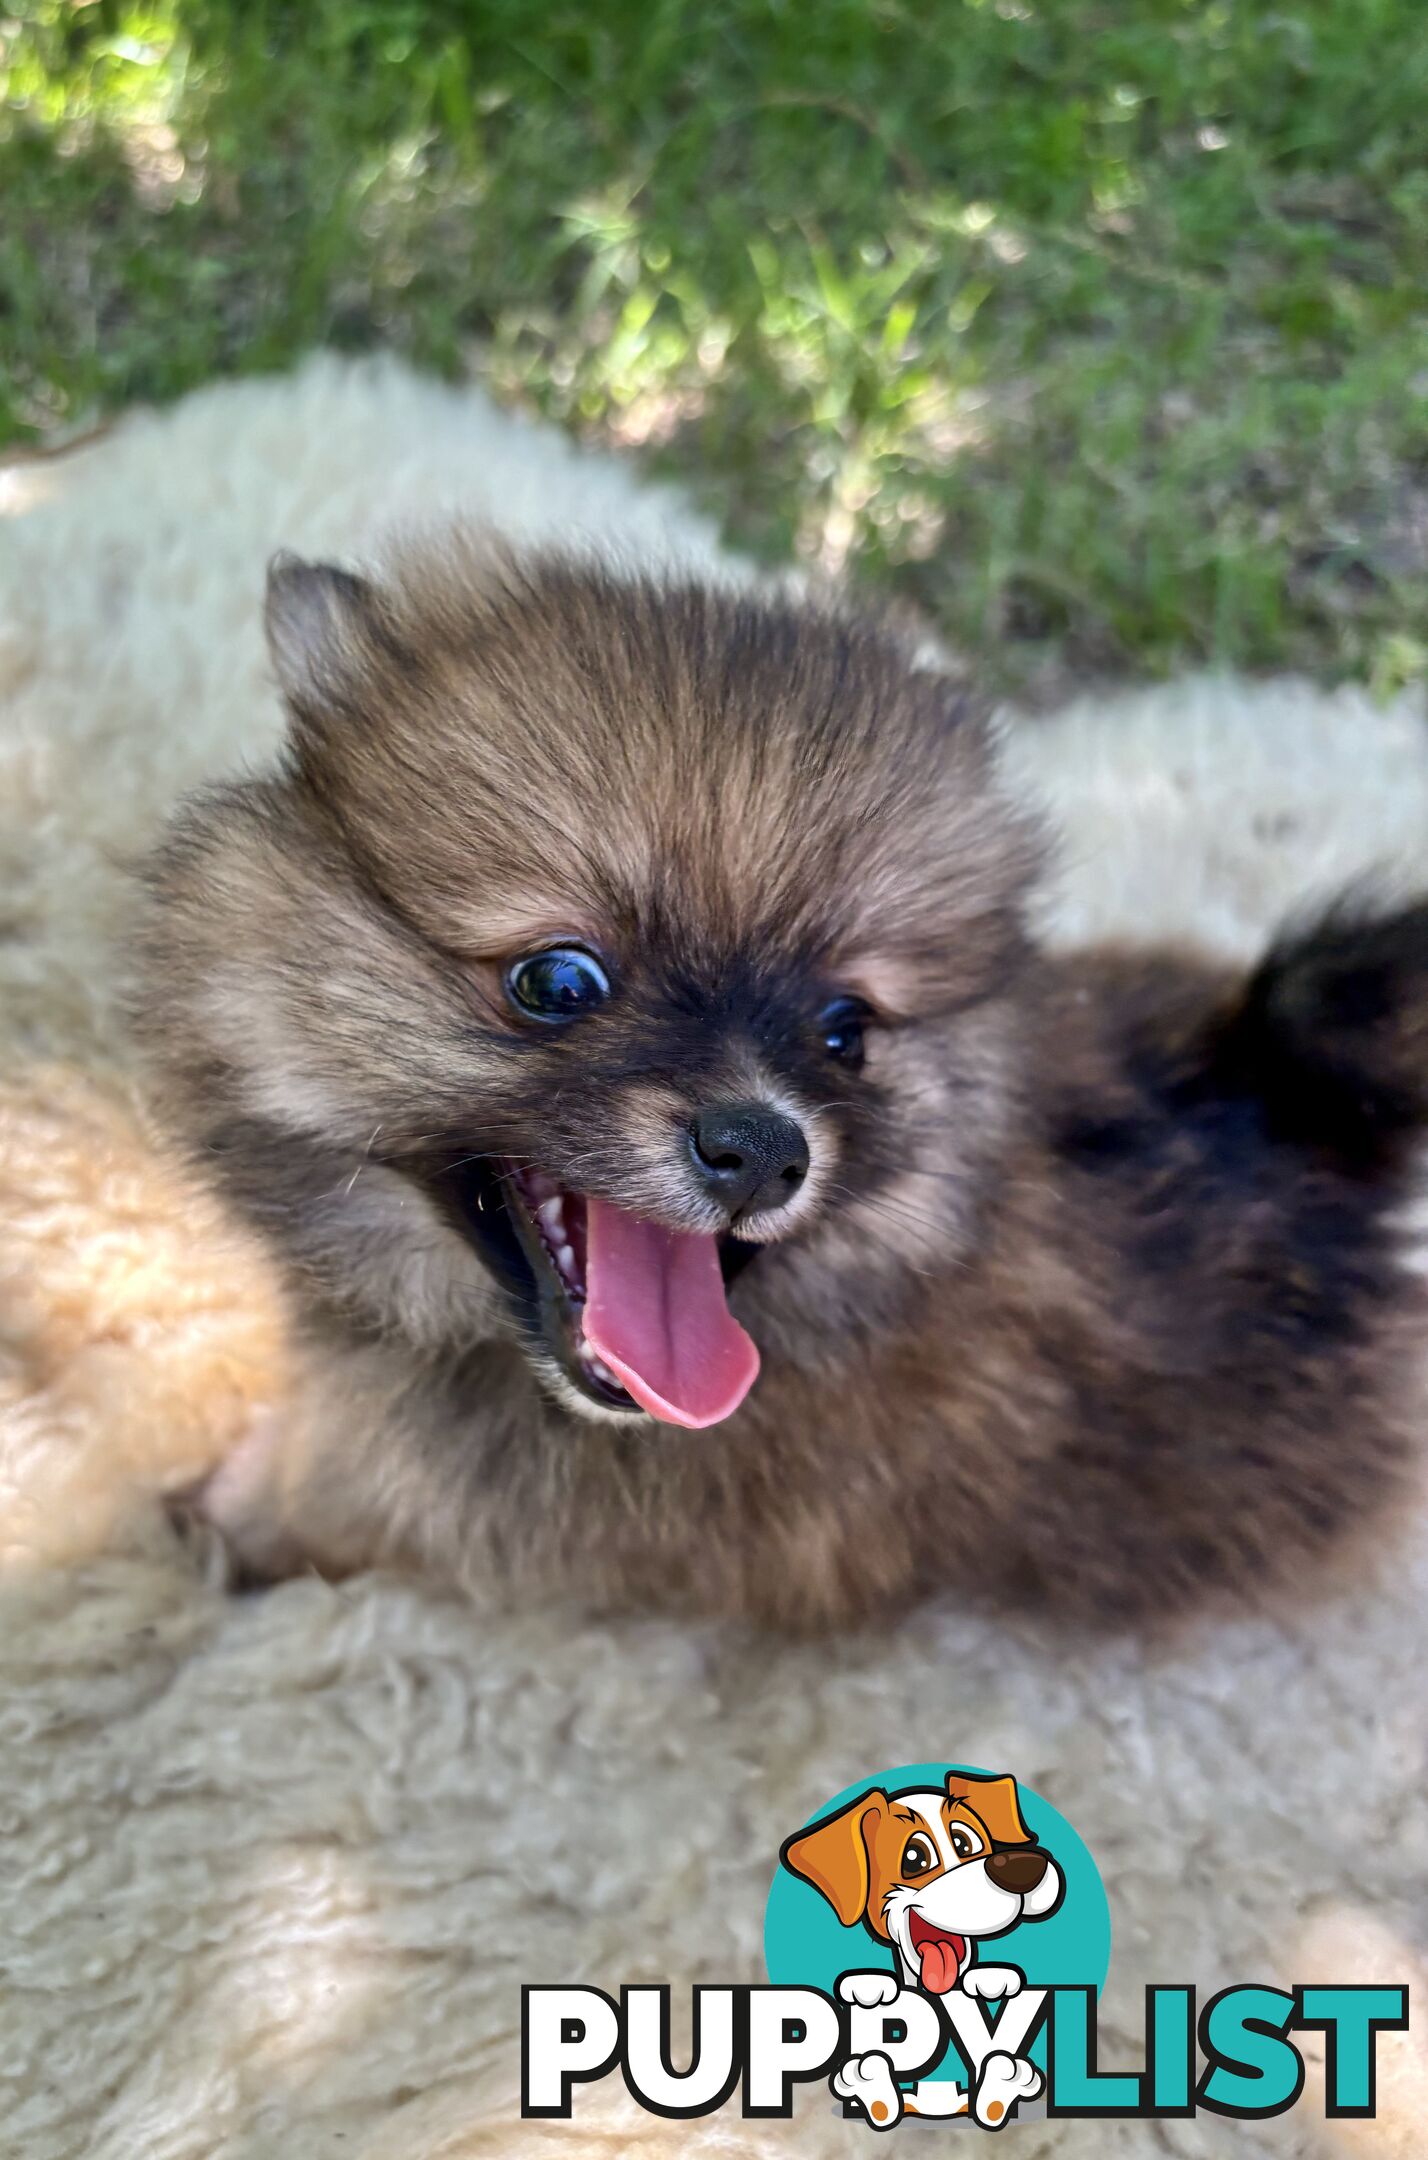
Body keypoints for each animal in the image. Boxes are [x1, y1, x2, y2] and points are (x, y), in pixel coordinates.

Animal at [136, 535, 1425, 1624]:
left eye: (845, 1029)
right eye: (559, 980)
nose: (763, 1147)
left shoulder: (428, 1511)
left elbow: (321, 1501)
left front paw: (228, 1523)